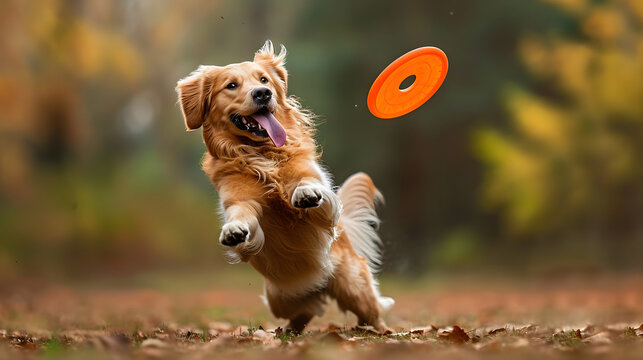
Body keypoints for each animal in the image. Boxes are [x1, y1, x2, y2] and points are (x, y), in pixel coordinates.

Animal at [179, 40, 394, 332]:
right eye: (231, 85)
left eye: (264, 79)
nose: (263, 94)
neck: (262, 154)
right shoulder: (239, 200)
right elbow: (240, 215)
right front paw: (234, 230)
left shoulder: (319, 191)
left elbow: (309, 185)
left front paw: (304, 193)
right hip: (278, 299)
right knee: (306, 311)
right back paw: (287, 331)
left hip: (355, 288)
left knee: (372, 312)